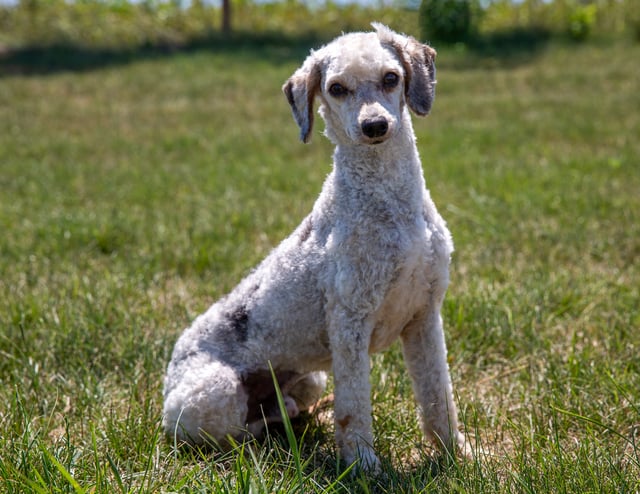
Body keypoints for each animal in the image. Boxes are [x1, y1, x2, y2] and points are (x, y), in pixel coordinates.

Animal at [164, 22, 464, 470]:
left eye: (391, 78)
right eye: (336, 88)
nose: (375, 126)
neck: (390, 205)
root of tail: (167, 371)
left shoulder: (424, 315)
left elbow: (437, 396)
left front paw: (456, 454)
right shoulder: (349, 321)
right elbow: (354, 406)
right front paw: (362, 465)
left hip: (311, 377)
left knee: (280, 409)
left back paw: (289, 415)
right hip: (214, 392)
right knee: (232, 436)